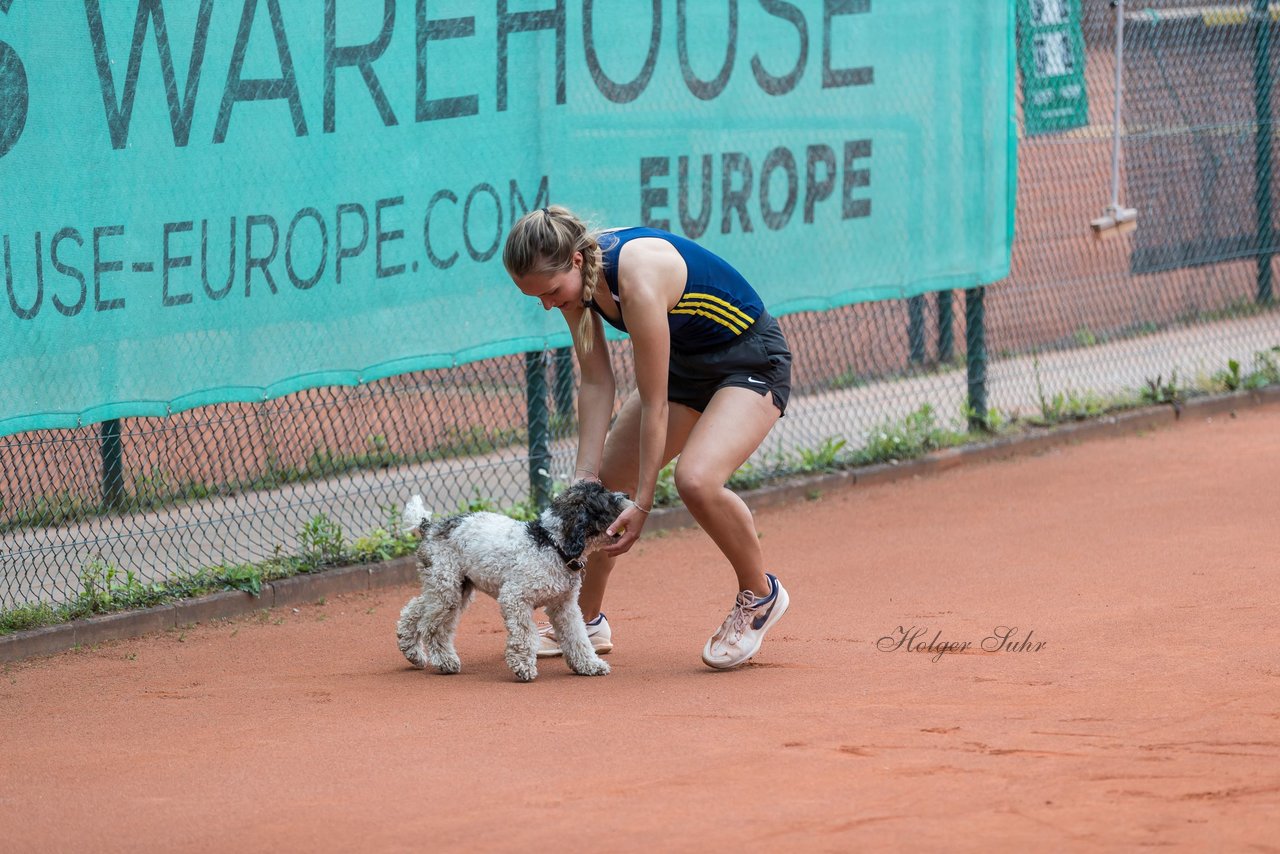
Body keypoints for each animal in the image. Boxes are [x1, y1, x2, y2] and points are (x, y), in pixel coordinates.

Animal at [391, 481, 627, 681]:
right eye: (606, 499)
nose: (626, 495)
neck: (551, 544)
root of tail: (429, 527)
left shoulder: (565, 606)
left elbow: (577, 637)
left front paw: (589, 665)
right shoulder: (515, 598)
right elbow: (524, 635)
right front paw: (522, 666)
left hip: (452, 588)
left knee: (413, 610)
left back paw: (411, 650)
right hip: (447, 591)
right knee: (433, 628)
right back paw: (444, 661)